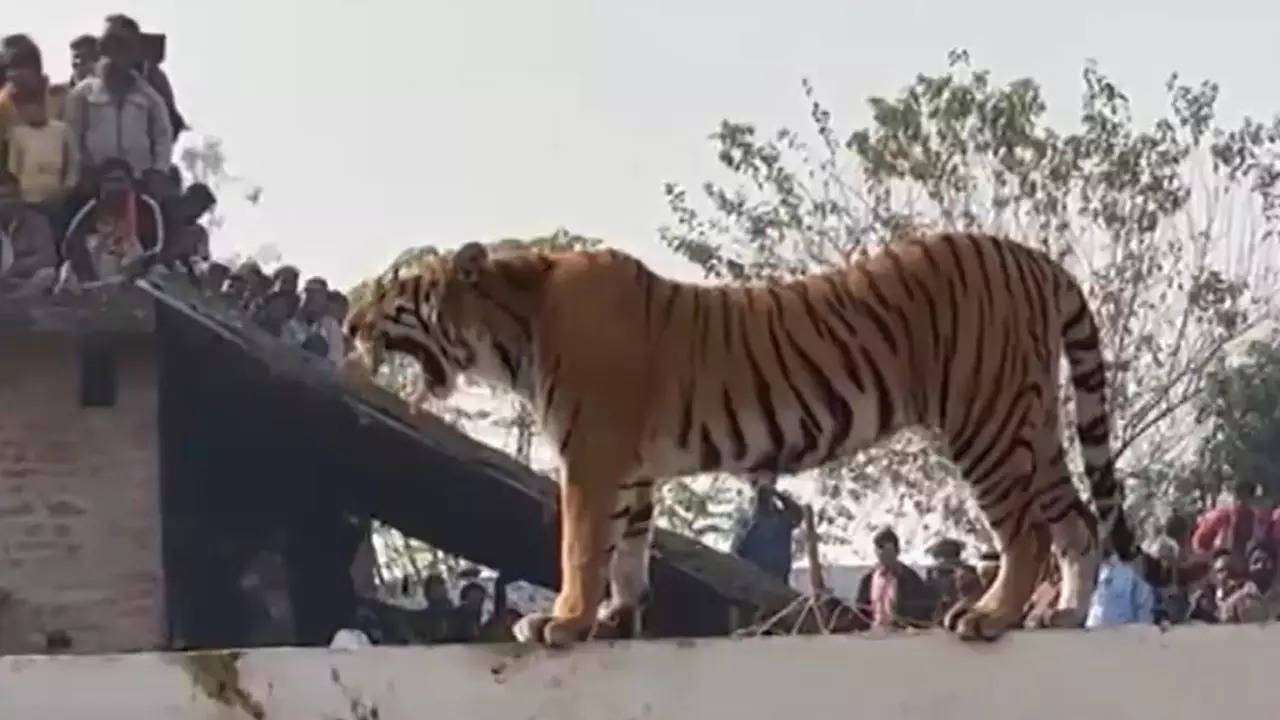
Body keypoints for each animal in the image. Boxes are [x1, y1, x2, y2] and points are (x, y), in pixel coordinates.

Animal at [340, 233, 1131, 648]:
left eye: (390, 293)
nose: (346, 323)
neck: (512, 330)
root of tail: (1032, 256)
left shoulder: (591, 456)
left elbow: (579, 546)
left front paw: (561, 622)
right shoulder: (629, 469)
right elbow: (626, 549)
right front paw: (616, 620)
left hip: (985, 420)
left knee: (1027, 530)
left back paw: (989, 616)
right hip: (1033, 421)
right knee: (1077, 521)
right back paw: (1062, 614)